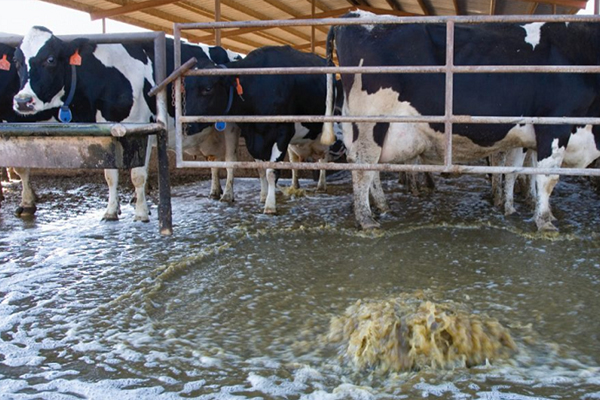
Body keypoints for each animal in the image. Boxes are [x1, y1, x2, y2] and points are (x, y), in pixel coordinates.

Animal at [11, 27, 241, 222]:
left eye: (50, 59)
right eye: (17, 62)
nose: (22, 101)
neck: (106, 74)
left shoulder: (144, 125)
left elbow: (137, 175)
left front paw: (141, 213)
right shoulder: (108, 132)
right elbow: (111, 175)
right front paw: (111, 211)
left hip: (231, 126)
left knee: (229, 159)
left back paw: (228, 194)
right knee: (213, 159)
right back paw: (214, 191)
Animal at [184, 45, 330, 214]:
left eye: (207, 88)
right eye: (184, 89)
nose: (186, 125)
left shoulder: (283, 132)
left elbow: (272, 172)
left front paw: (270, 205)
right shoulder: (252, 136)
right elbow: (261, 169)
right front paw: (263, 196)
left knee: (324, 158)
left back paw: (321, 185)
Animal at [326, 11, 600, 231]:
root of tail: (353, 16)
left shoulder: (525, 136)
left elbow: (518, 172)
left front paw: (517, 210)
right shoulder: (554, 123)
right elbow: (547, 177)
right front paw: (545, 221)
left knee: (371, 168)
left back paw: (382, 208)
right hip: (371, 121)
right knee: (363, 165)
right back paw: (366, 220)